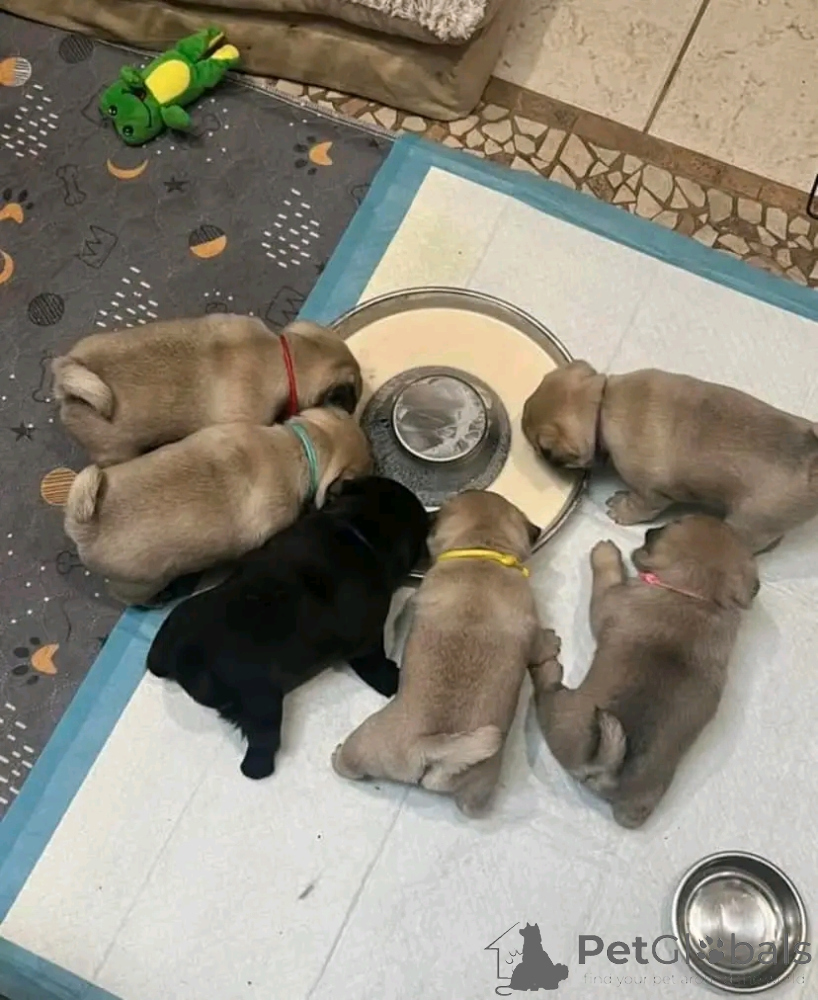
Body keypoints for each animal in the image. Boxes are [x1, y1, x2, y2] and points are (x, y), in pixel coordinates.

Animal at [146, 476, 429, 779]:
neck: (358, 527)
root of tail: (190, 658)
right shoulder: (368, 640)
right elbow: (375, 663)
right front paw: (392, 678)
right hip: (265, 705)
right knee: (259, 755)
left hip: (177, 619)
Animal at [332, 490, 554, 816]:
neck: (483, 550)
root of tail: (433, 749)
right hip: (477, 788)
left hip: (366, 741)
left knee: (349, 763)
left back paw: (336, 756)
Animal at [522, 361, 818, 552]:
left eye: (539, 448)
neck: (604, 404)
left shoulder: (651, 493)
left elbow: (639, 506)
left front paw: (622, 509)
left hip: (750, 523)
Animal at [529, 515, 759, 828]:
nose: (650, 530)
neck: (696, 594)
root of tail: (608, 773)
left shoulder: (607, 600)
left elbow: (606, 577)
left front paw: (605, 554)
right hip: (645, 799)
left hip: (562, 709)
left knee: (545, 695)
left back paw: (547, 671)